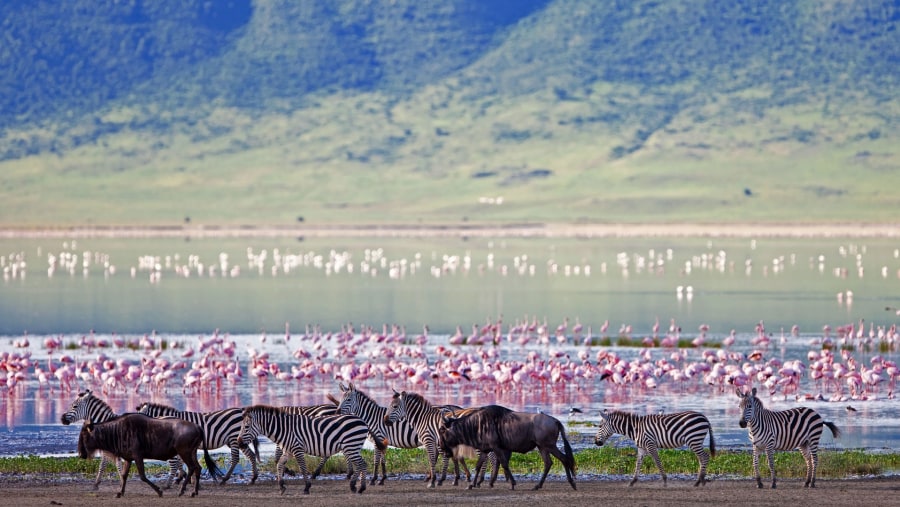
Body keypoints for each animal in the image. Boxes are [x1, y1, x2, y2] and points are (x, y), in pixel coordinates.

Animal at [237, 404, 370, 496]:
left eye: (246, 427)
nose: (238, 443)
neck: (284, 429)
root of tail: (362, 421)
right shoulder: (288, 451)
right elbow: (279, 464)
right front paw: (281, 486)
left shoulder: (298, 449)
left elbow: (302, 468)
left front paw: (306, 487)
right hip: (352, 447)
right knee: (360, 464)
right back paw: (354, 486)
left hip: (351, 446)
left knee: (362, 464)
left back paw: (361, 488)